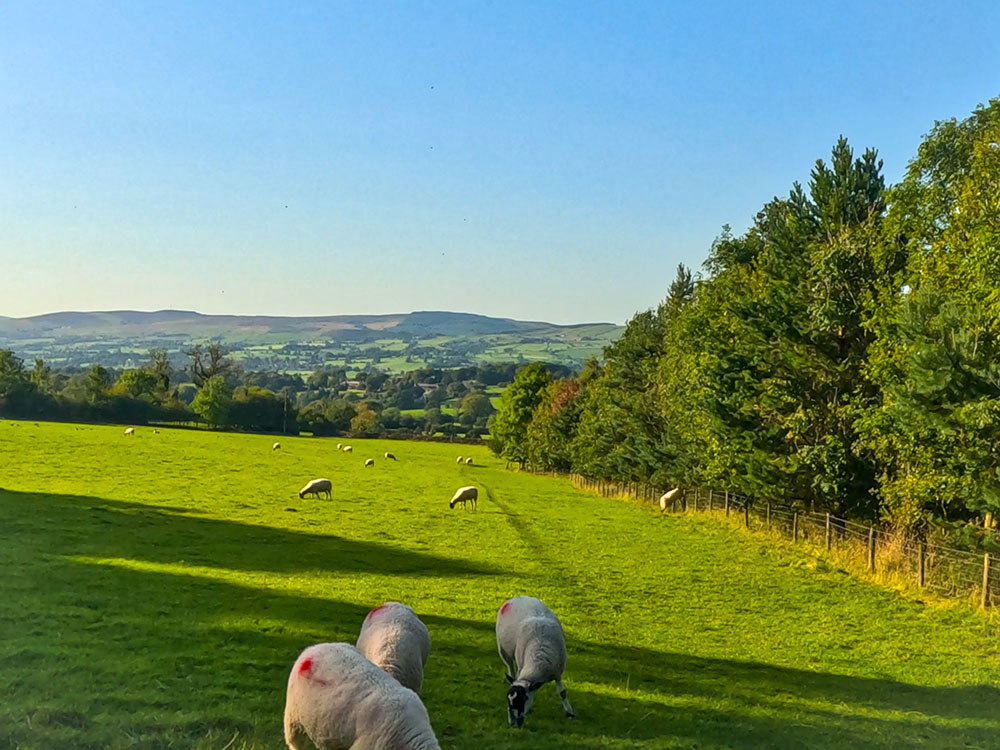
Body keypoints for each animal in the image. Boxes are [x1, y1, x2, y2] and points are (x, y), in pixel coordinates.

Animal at [496, 592, 576, 728]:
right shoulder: (521, 666)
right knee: (510, 668)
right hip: (504, 651)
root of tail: (517, 597)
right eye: (508, 699)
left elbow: (562, 693)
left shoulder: (557, 672)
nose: (513, 723)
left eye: (524, 699)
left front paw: (569, 713)